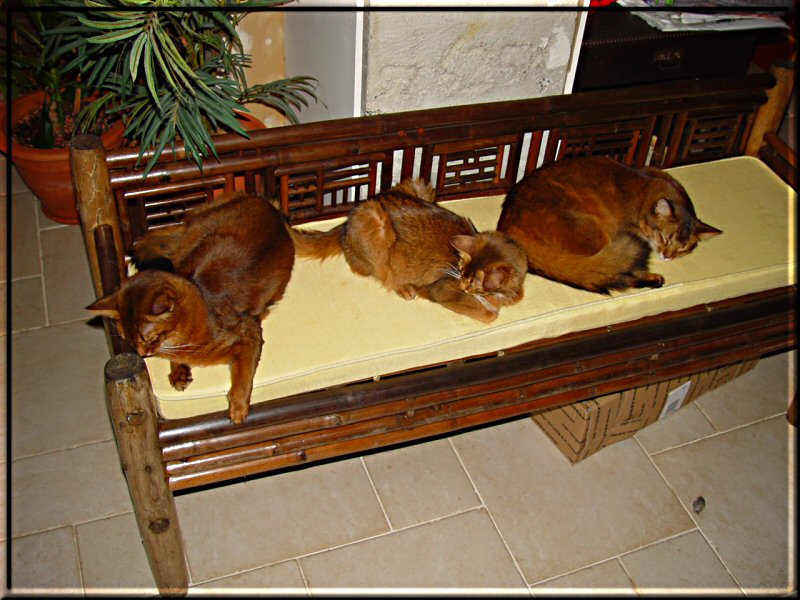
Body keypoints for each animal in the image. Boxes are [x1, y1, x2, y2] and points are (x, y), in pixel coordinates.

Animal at [85, 192, 296, 422]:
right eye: (128, 340)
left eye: (148, 338)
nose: (142, 354)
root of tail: (264, 202)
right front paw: (178, 371)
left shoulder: (249, 332)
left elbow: (243, 373)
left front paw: (238, 406)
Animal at [290, 178, 528, 324]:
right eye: (461, 272)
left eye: (470, 280)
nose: (462, 284)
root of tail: (348, 220)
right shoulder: (440, 290)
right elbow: (490, 314)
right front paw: (491, 307)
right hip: (377, 228)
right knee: (373, 270)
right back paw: (404, 287)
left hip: (419, 186)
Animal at [496, 156, 720, 294]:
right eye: (664, 237)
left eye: (682, 248)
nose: (667, 256)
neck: (646, 193)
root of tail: (510, 222)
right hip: (596, 233)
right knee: (617, 272)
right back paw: (653, 279)